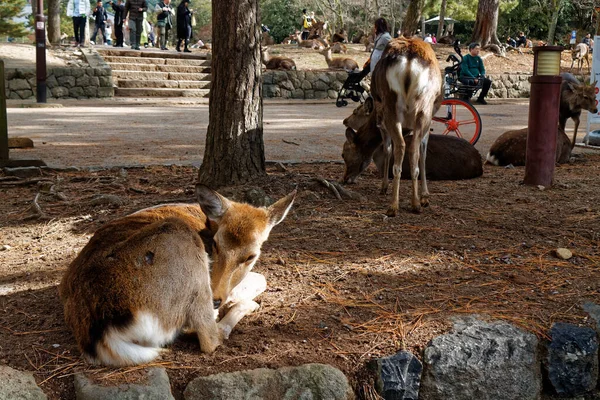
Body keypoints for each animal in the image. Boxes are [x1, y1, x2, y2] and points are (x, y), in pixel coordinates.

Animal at [58, 184, 296, 366]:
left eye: (251, 255)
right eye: (215, 245)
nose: (217, 298)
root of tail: (102, 334)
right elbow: (261, 279)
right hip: (184, 246)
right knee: (208, 337)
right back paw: (242, 309)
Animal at [344, 36, 442, 216]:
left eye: (344, 154)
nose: (345, 178)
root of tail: (409, 60)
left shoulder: (381, 123)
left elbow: (388, 150)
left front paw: (384, 186)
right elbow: (421, 153)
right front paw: (424, 196)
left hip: (396, 107)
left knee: (402, 147)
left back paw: (397, 205)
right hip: (423, 108)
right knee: (411, 148)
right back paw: (411, 204)